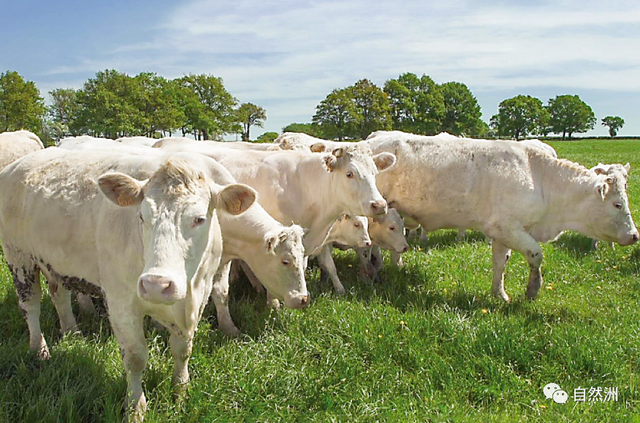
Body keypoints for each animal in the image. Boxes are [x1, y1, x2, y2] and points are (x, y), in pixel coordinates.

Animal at [0, 148, 256, 420]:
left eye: (199, 219)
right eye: (142, 216)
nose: (156, 285)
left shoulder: (199, 296)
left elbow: (182, 350)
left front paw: (180, 392)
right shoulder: (120, 301)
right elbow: (135, 358)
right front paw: (135, 407)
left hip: (53, 261)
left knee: (59, 295)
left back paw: (71, 331)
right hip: (18, 256)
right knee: (31, 306)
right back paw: (40, 349)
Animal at [368, 132, 636, 302]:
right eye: (617, 204)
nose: (634, 235)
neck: (539, 178)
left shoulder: (500, 233)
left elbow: (500, 263)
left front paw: (499, 294)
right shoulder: (509, 228)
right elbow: (536, 255)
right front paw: (532, 290)